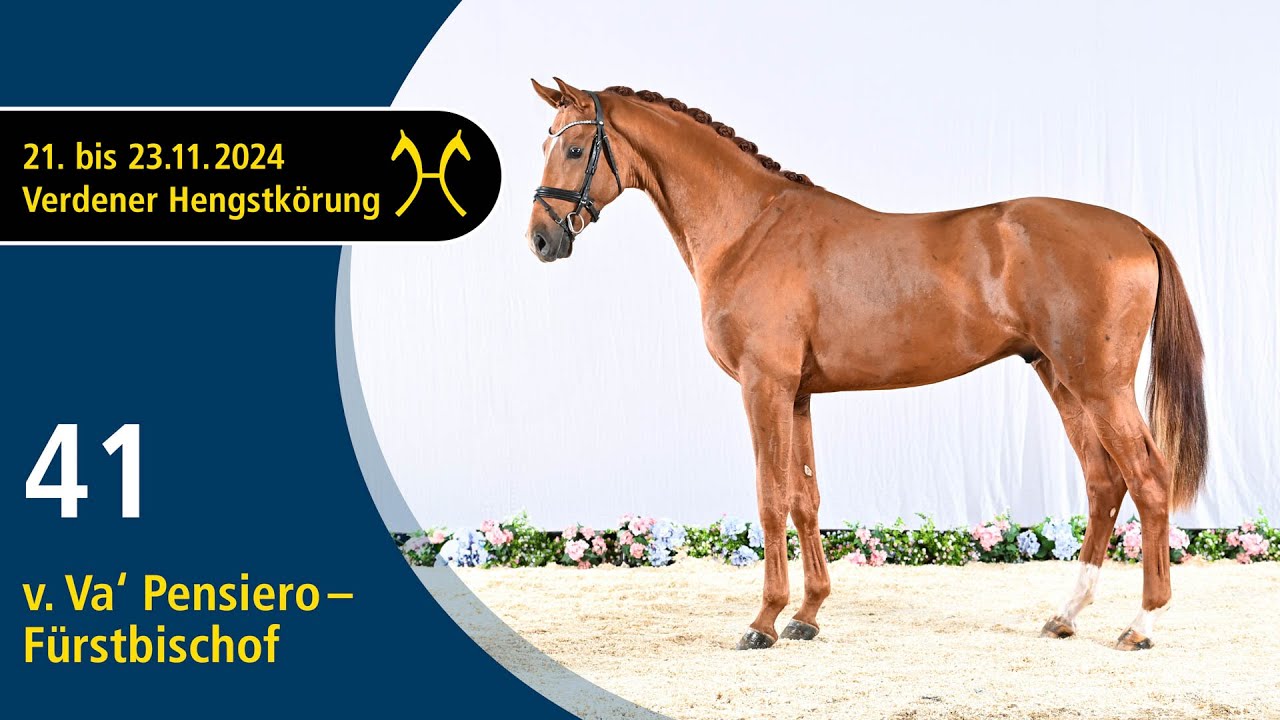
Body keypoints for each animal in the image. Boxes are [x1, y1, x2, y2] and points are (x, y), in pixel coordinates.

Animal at [525, 77, 1207, 652]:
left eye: (577, 146)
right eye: (545, 141)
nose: (540, 239)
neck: (750, 228)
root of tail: (1134, 229)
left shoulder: (764, 387)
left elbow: (770, 497)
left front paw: (763, 621)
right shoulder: (797, 394)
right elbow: (805, 497)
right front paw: (807, 615)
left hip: (1100, 385)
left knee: (1148, 480)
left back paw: (1141, 624)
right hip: (1060, 378)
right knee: (1103, 482)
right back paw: (1065, 615)